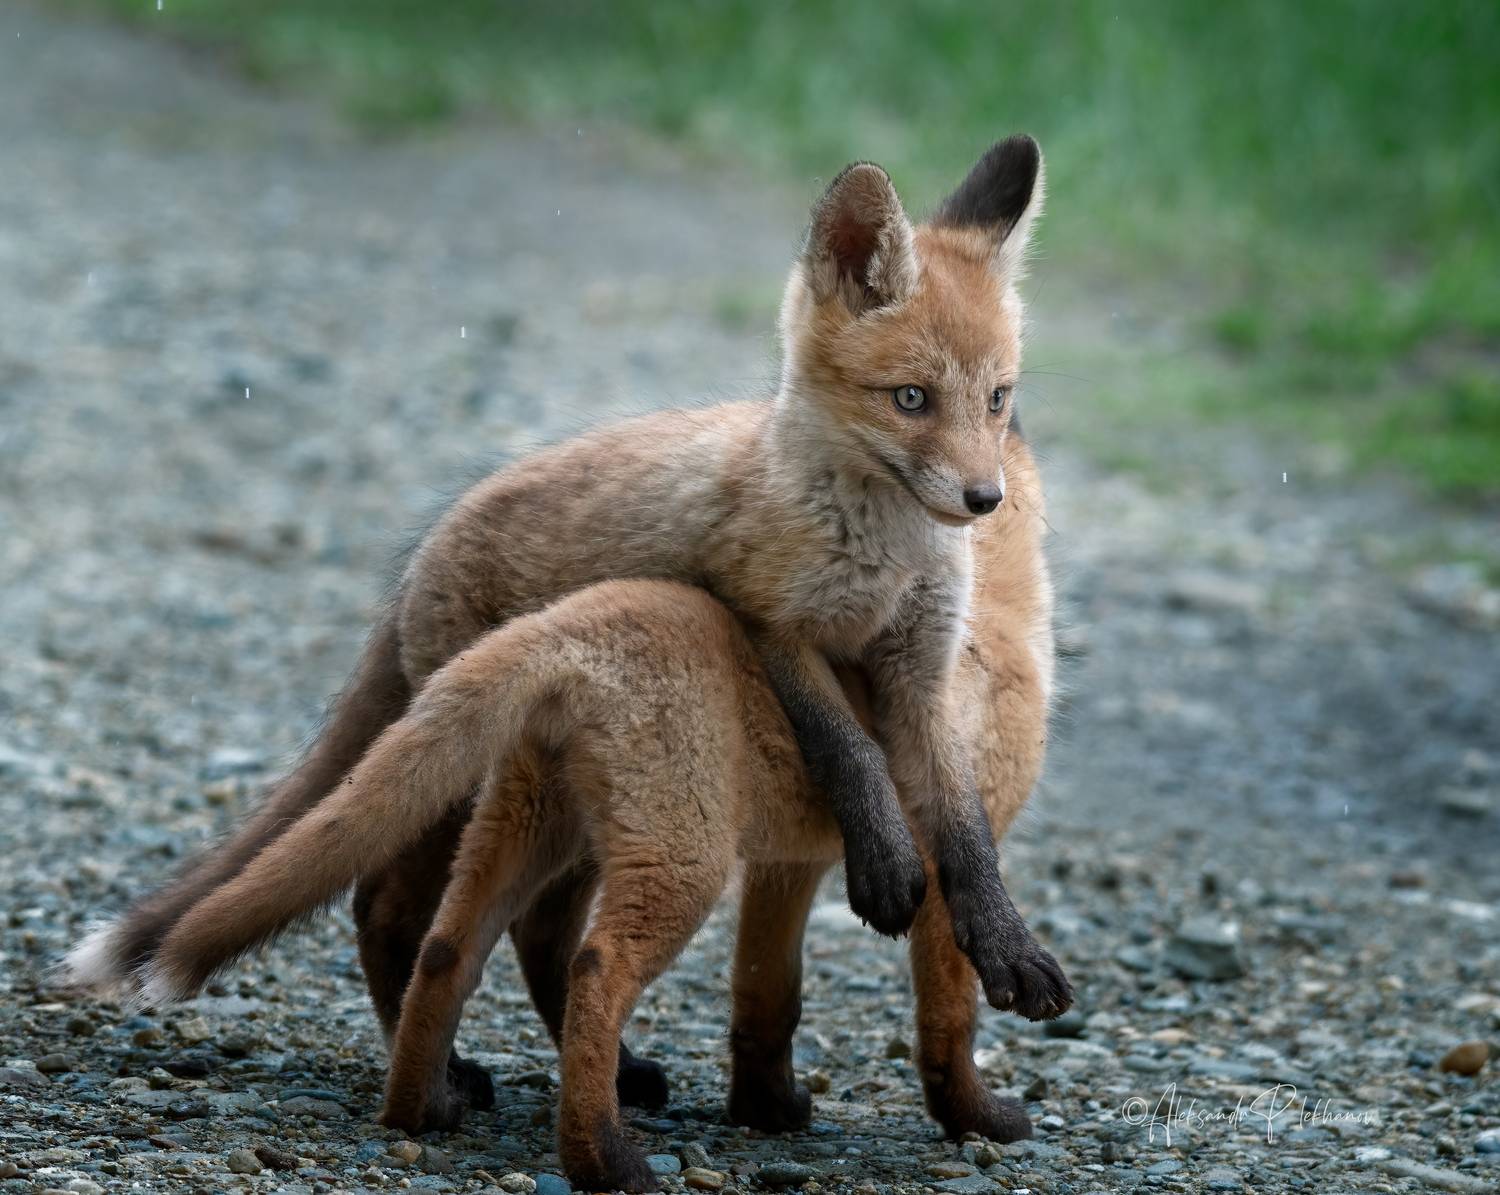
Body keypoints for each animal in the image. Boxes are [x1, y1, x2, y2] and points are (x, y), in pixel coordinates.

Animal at [66, 134, 1069, 1045]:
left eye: (996, 399)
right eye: (911, 399)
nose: (986, 500)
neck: (884, 554)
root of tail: (424, 554)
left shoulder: (921, 669)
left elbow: (964, 827)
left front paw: (1005, 942)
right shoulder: (769, 621)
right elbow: (849, 750)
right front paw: (886, 866)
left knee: (529, 927)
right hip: (472, 778)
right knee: (385, 902)